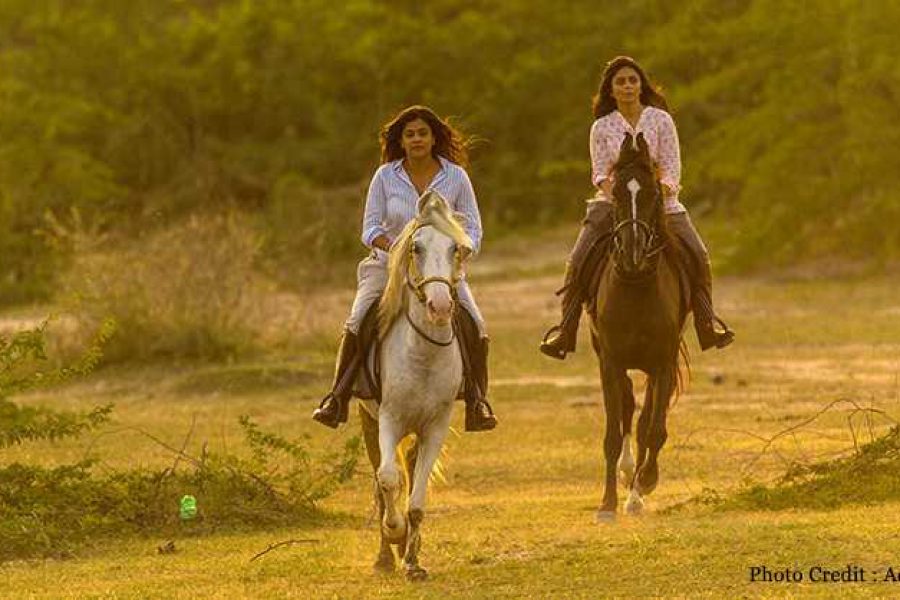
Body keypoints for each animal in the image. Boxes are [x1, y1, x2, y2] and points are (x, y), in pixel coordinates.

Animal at [358, 192, 472, 580]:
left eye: (456, 248)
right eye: (416, 248)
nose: (439, 306)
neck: (423, 356)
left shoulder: (435, 427)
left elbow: (418, 498)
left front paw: (413, 562)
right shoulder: (388, 419)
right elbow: (388, 479)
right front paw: (394, 534)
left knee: (407, 467)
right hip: (368, 418)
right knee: (380, 480)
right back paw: (382, 557)